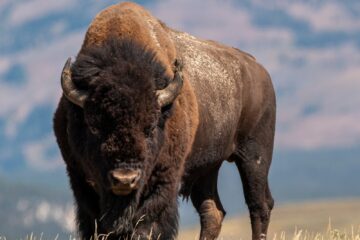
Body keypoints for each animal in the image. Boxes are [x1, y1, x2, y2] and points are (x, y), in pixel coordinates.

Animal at [53, 1, 278, 240]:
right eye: (94, 127)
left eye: (150, 128)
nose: (125, 179)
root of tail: (259, 70)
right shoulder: (80, 178)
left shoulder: (164, 179)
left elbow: (147, 223)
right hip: (207, 169)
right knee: (213, 212)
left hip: (254, 156)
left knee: (259, 205)